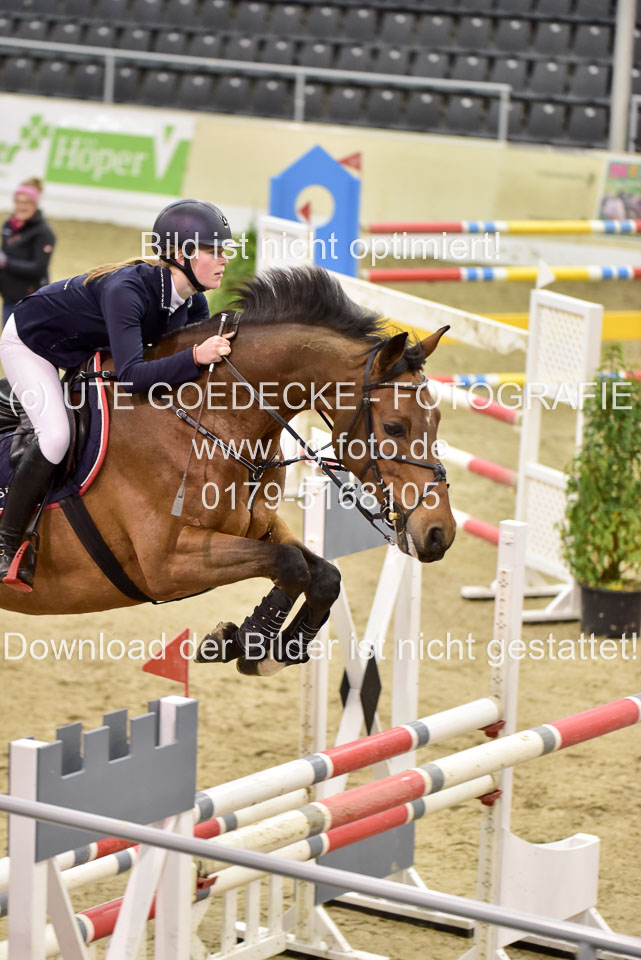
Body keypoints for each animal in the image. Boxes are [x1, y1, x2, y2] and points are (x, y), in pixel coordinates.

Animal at [0, 267, 456, 676]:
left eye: (436, 420)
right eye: (394, 427)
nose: (440, 534)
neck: (211, 422)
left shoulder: (258, 527)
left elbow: (323, 573)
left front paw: (266, 650)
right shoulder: (165, 565)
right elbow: (291, 564)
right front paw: (247, 641)